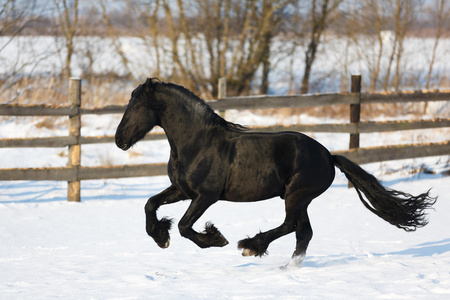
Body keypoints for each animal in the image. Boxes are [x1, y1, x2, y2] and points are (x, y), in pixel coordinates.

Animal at [115, 78, 436, 266]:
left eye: (137, 106)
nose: (119, 140)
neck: (197, 142)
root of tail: (328, 156)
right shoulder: (182, 191)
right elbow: (150, 204)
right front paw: (160, 237)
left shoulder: (206, 195)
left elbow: (184, 226)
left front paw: (215, 238)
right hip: (299, 198)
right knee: (303, 232)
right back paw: (286, 266)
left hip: (296, 195)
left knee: (291, 226)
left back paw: (250, 246)